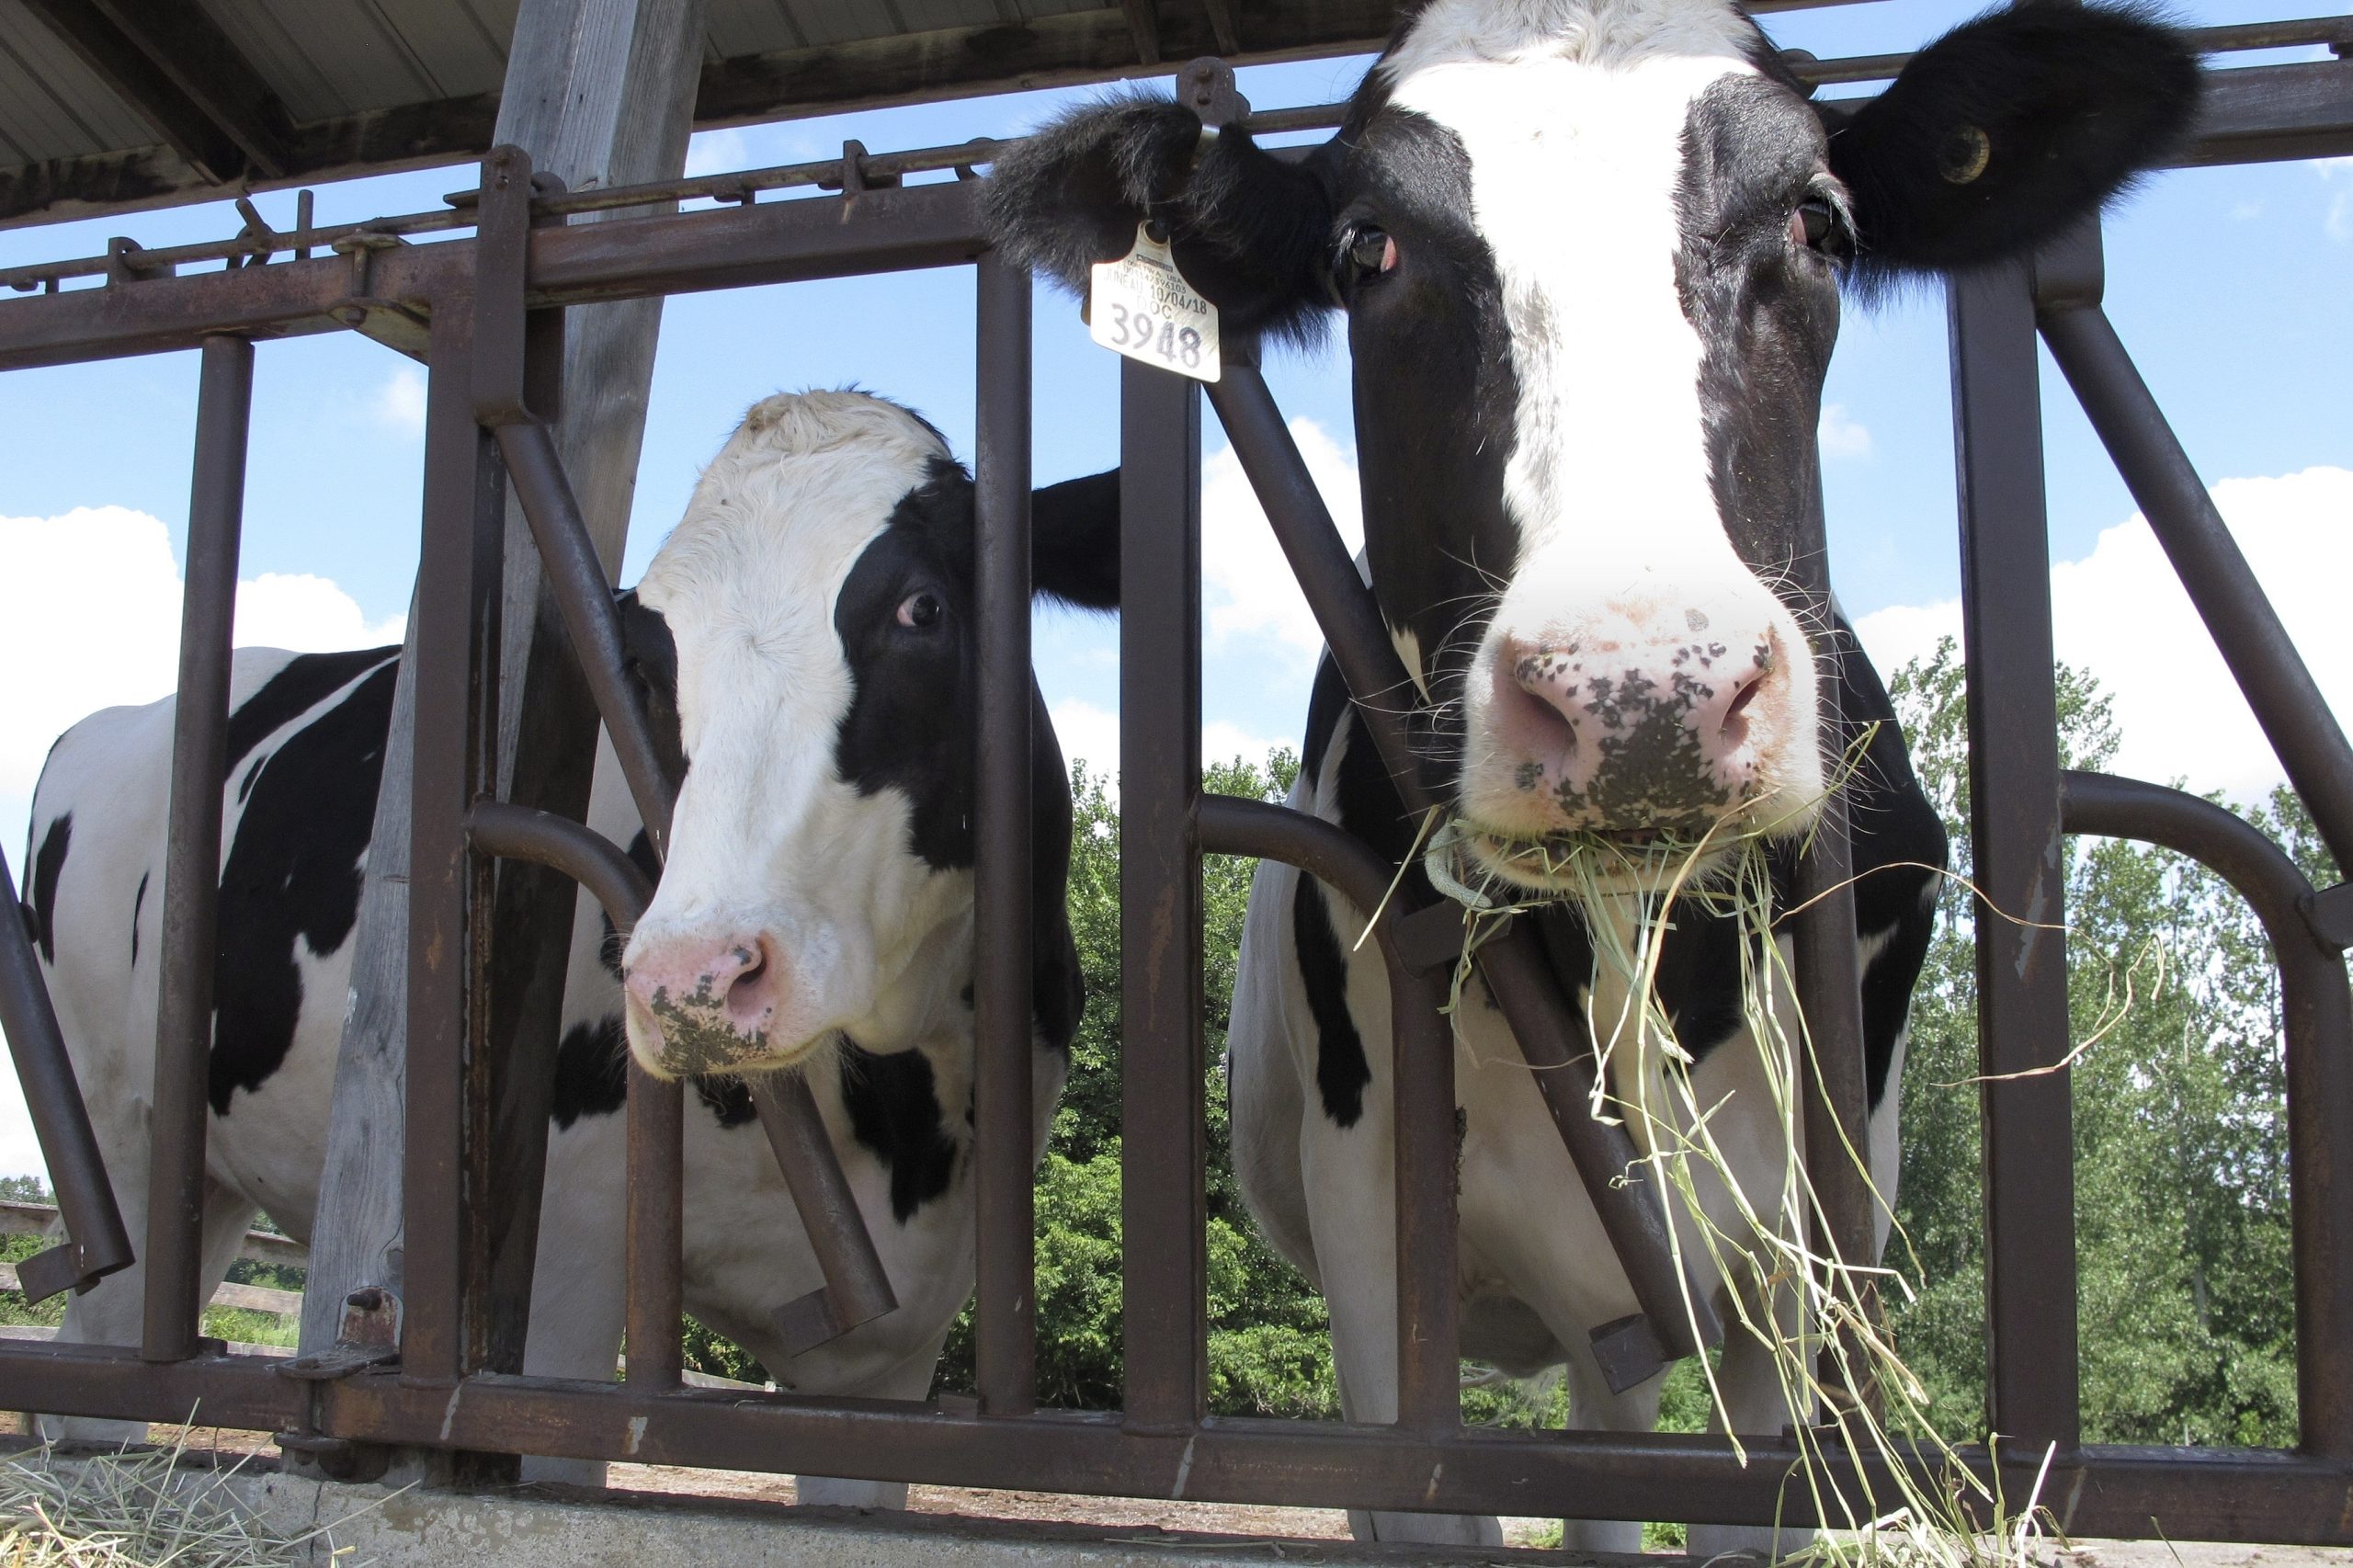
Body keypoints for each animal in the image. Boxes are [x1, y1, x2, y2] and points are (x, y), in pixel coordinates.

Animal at [20, 383, 1120, 1497]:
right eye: (643, 661)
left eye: (922, 609)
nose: (690, 978)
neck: (902, 1109)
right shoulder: (560, 1280)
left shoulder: (889, 1353)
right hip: (121, 1141)